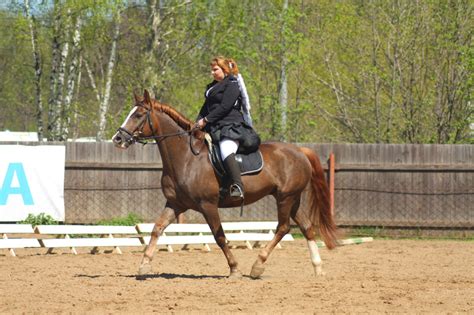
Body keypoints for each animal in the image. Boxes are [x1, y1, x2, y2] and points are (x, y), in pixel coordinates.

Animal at [111, 89, 336, 278]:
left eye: (138, 115)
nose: (117, 139)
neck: (186, 158)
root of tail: (300, 151)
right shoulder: (176, 204)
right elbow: (157, 228)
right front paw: (144, 265)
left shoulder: (208, 205)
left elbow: (219, 236)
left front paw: (234, 269)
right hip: (292, 198)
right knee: (306, 227)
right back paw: (318, 269)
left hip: (285, 198)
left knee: (283, 227)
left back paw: (258, 266)